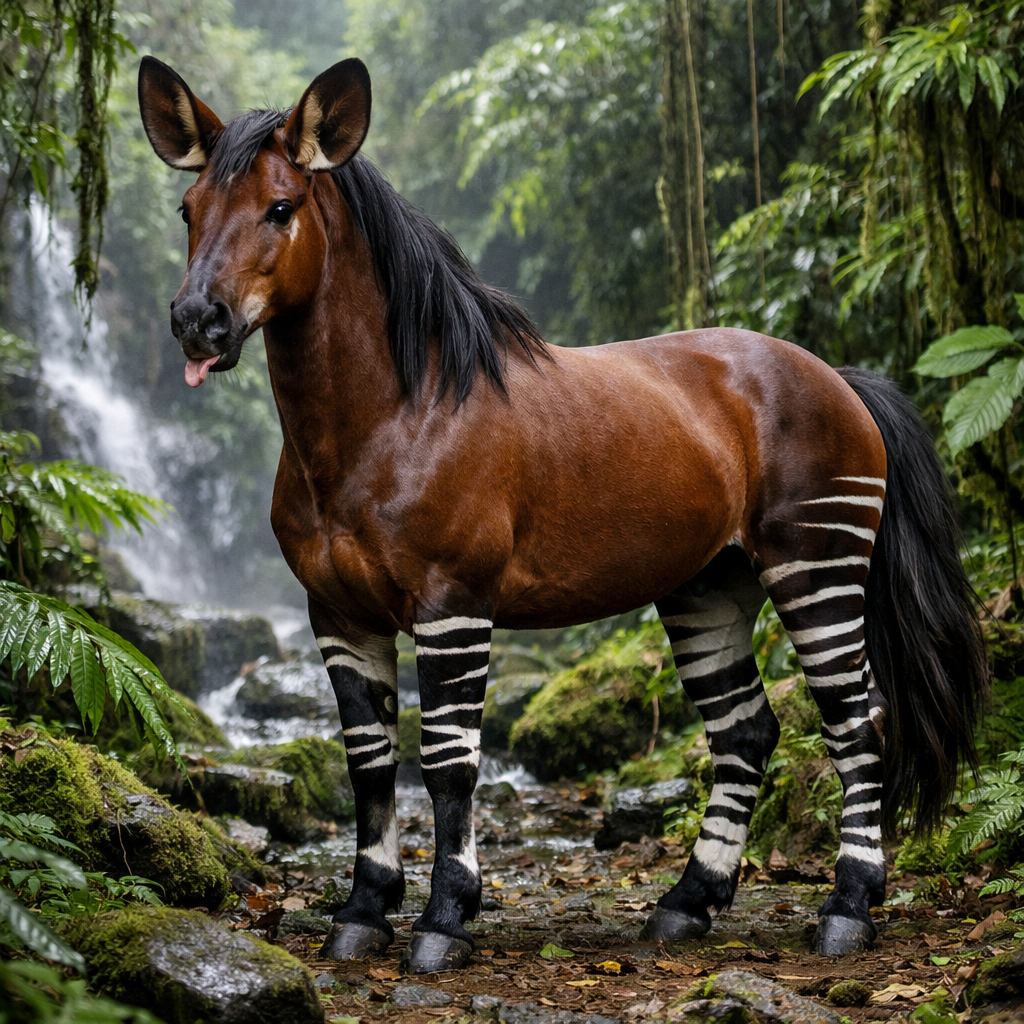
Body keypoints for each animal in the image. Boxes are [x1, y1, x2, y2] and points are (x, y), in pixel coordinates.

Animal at [138, 55, 988, 974]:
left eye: (281, 209)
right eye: (186, 210)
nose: (196, 322)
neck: (383, 419)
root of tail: (841, 377)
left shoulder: (453, 603)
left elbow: (449, 764)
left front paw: (445, 920)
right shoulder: (336, 612)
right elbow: (368, 763)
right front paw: (362, 913)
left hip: (817, 563)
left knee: (855, 720)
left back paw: (848, 908)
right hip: (707, 584)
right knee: (747, 731)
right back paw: (689, 903)